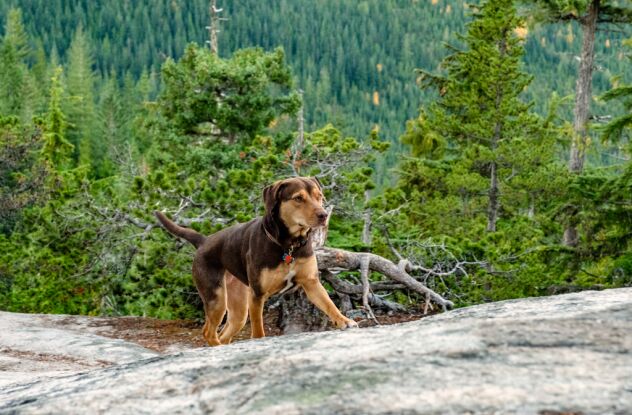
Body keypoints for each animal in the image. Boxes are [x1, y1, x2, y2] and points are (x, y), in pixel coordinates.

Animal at [154, 177, 356, 346]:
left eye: (319, 196)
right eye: (298, 198)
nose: (324, 215)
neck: (288, 245)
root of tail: (204, 241)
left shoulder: (311, 283)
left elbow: (329, 304)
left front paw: (344, 320)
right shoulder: (258, 294)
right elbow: (258, 329)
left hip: (238, 310)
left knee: (224, 333)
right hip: (216, 299)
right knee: (208, 332)